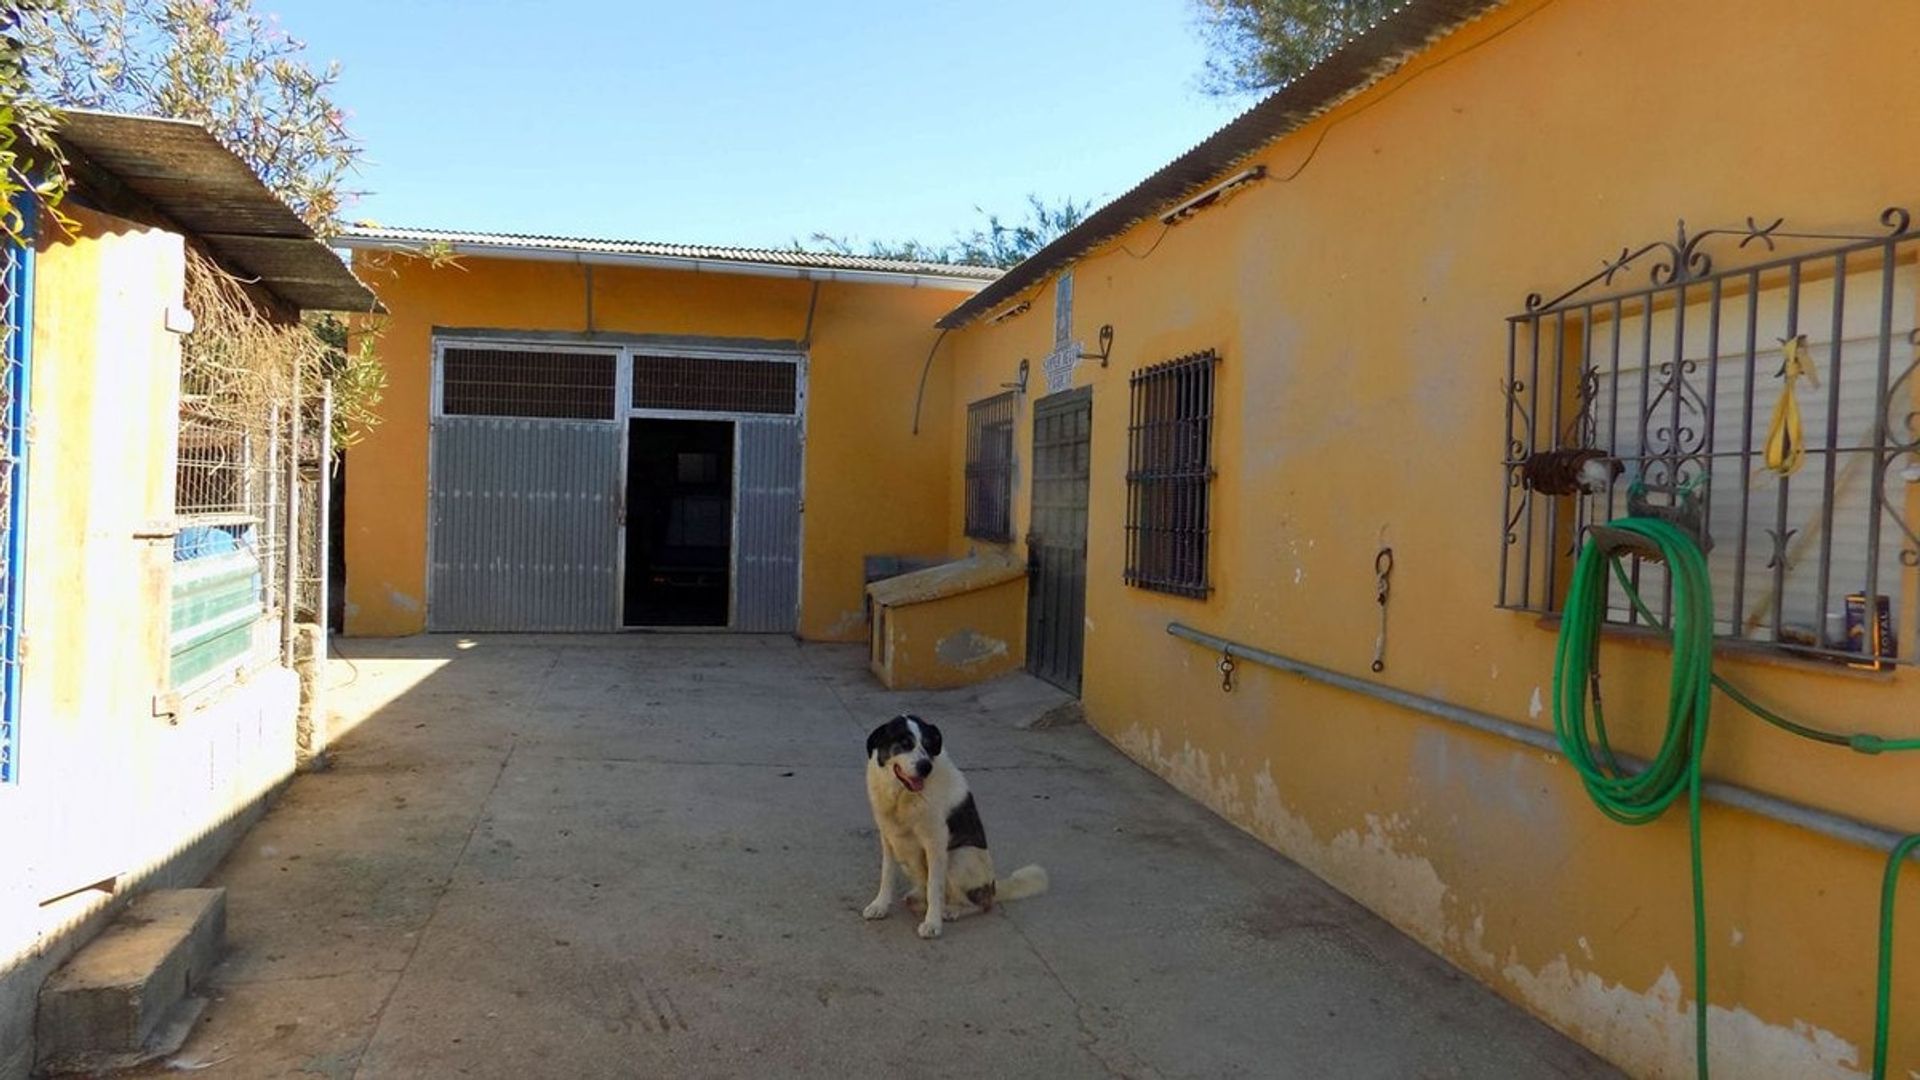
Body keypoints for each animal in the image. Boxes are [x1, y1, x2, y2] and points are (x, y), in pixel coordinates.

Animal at [864, 714, 1052, 933]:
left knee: (981, 904)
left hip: (958, 857)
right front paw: (880, 905)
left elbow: (934, 886)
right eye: (905, 743)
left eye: (928, 745)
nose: (925, 767)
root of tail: (993, 886)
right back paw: (919, 899)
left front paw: (932, 923)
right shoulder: (888, 837)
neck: (902, 796)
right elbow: (887, 874)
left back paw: (950, 910)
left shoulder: (936, 843)